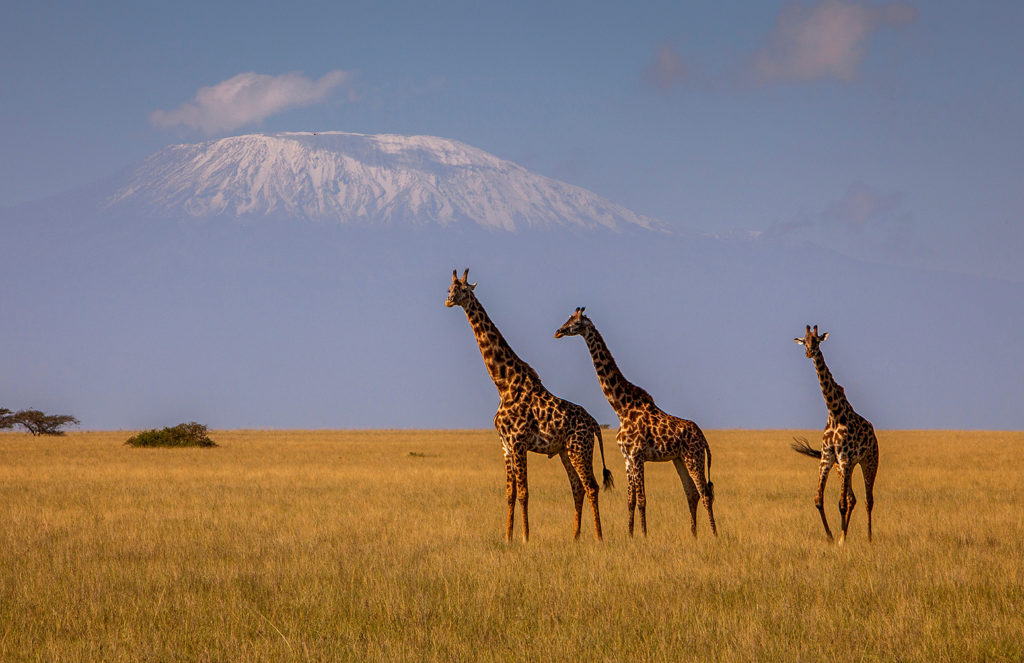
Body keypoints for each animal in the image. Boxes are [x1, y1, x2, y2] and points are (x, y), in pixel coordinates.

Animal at [444, 270, 610, 545]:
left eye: (464, 290)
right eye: (449, 288)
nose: (448, 301)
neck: (504, 384)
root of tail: (595, 424)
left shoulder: (519, 442)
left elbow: (524, 493)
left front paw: (525, 537)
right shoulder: (505, 445)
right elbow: (509, 494)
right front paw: (507, 536)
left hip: (580, 449)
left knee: (591, 486)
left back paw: (598, 537)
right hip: (565, 451)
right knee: (577, 487)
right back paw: (575, 537)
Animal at [557, 307, 716, 541]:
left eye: (575, 323)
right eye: (567, 319)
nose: (558, 332)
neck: (621, 408)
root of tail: (704, 438)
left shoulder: (638, 455)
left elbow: (642, 499)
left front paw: (644, 535)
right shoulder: (627, 458)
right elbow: (630, 500)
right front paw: (630, 534)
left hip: (693, 457)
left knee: (705, 493)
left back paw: (714, 534)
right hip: (679, 459)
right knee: (692, 493)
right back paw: (693, 535)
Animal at [790, 325, 880, 545]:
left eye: (817, 341)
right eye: (804, 341)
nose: (809, 353)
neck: (834, 412)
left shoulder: (845, 458)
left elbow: (841, 504)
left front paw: (841, 540)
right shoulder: (828, 459)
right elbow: (818, 499)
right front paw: (832, 537)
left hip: (869, 460)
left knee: (868, 499)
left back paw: (869, 537)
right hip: (845, 468)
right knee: (852, 498)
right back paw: (846, 533)